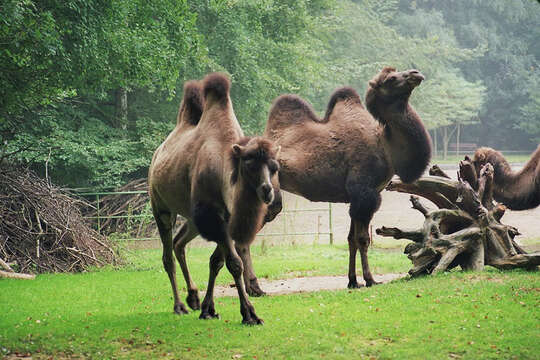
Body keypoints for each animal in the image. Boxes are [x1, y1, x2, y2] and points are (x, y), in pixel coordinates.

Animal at [264, 67, 432, 286]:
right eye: (391, 79)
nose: (416, 73)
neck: (385, 146)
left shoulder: (357, 198)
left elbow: (351, 239)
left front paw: (353, 281)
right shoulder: (365, 193)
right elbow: (363, 239)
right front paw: (370, 279)